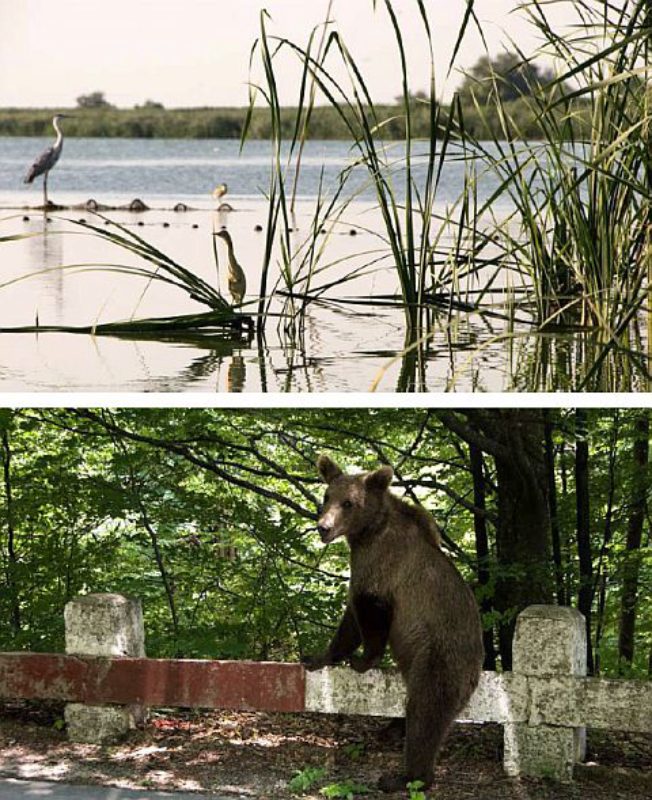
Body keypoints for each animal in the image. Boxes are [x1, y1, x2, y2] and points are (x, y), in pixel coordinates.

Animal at [304, 456, 482, 792]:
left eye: (348, 502)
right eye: (326, 496)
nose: (324, 527)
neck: (366, 532)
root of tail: (476, 670)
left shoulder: (382, 565)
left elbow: (370, 611)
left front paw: (361, 660)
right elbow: (350, 620)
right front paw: (316, 656)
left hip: (438, 658)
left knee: (425, 711)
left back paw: (404, 776)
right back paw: (391, 733)